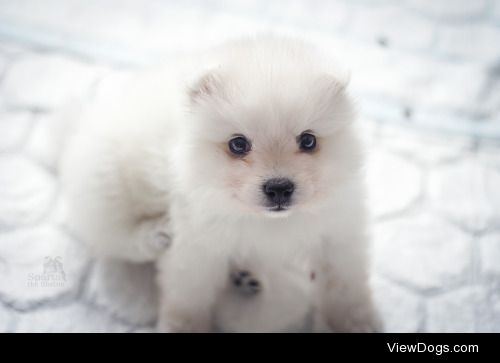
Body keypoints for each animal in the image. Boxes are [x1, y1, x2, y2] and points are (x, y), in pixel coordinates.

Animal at [59, 36, 378, 332]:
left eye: (308, 140)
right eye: (238, 144)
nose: (279, 187)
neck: (268, 221)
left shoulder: (338, 230)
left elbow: (345, 285)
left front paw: (355, 324)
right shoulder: (196, 244)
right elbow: (188, 295)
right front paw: (182, 327)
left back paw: (246, 278)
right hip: (106, 186)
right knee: (115, 238)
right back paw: (155, 236)